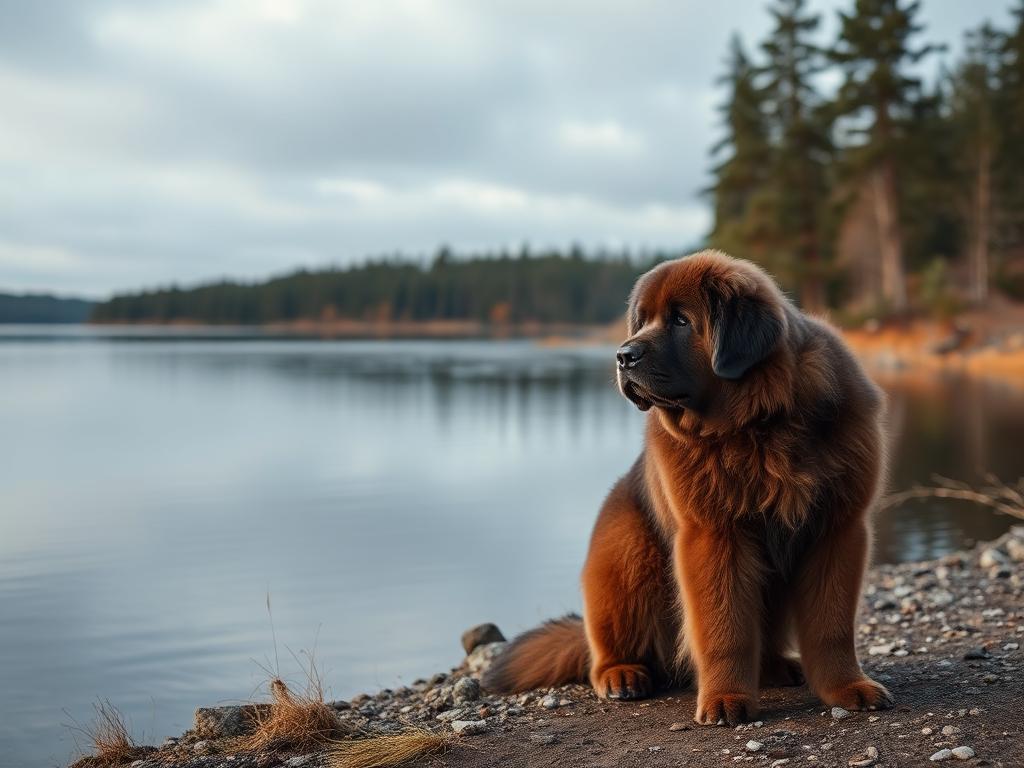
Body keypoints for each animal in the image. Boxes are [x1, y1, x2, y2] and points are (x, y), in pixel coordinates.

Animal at [483, 252, 892, 729]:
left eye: (680, 320)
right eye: (641, 320)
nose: (622, 355)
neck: (758, 423)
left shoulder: (838, 530)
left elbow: (832, 627)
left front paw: (846, 688)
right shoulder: (714, 536)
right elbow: (725, 628)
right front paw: (726, 698)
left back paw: (776, 666)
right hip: (626, 555)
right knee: (605, 648)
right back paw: (622, 674)